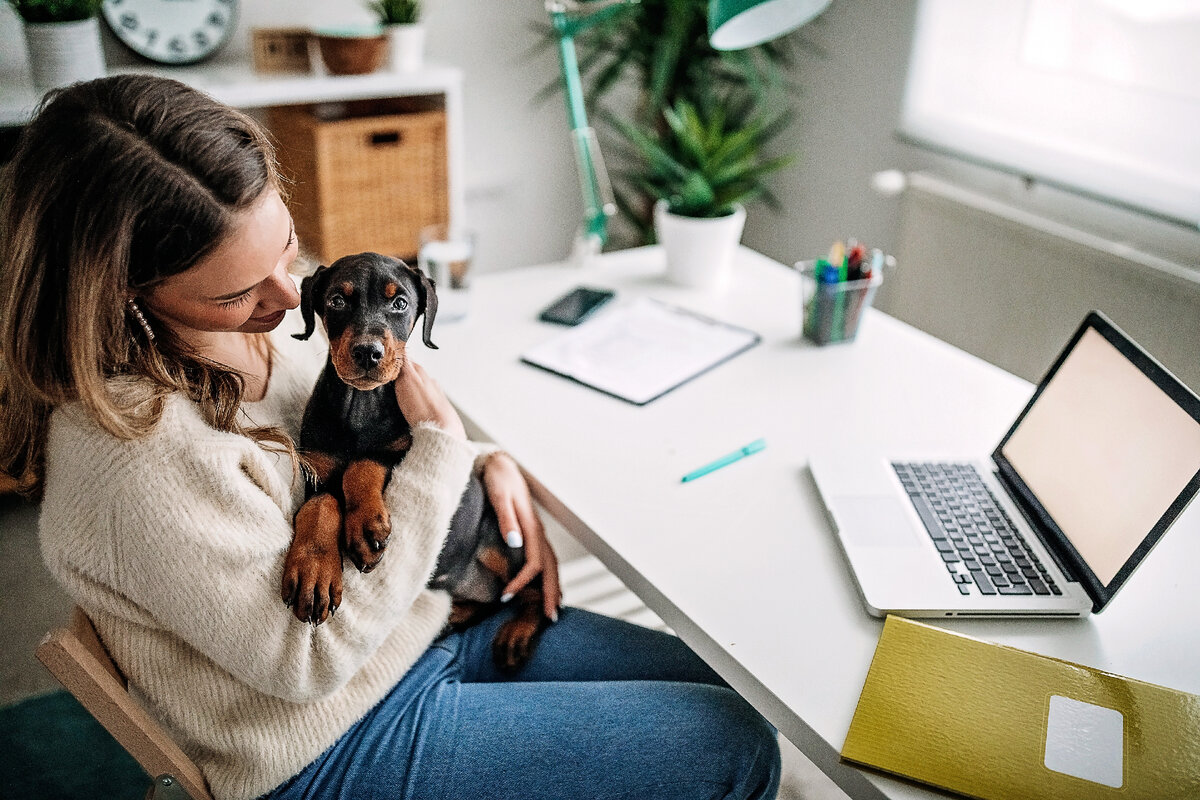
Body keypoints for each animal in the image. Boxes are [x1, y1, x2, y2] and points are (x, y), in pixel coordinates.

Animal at [280, 250, 544, 671]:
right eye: (337, 300)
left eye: (400, 303)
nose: (367, 352)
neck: (361, 403)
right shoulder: (315, 471)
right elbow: (320, 505)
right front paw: (314, 571)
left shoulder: (403, 448)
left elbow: (363, 465)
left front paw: (365, 527)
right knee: (489, 602)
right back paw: (455, 616)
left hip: (505, 544)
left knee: (535, 593)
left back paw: (517, 633)